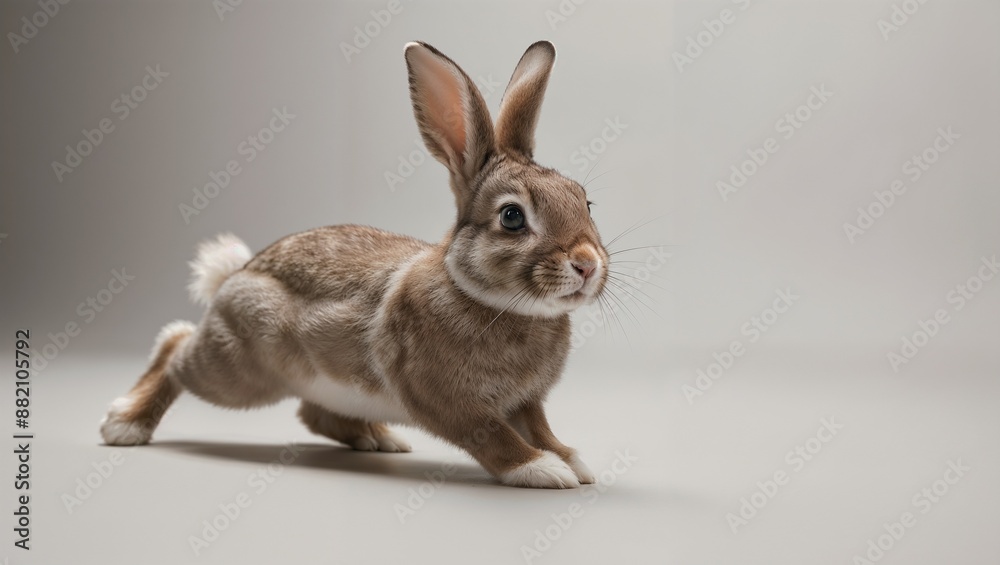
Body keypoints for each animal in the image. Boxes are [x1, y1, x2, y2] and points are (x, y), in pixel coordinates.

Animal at [99, 40, 608, 489]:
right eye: (512, 217)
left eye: (585, 201)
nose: (587, 264)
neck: (489, 298)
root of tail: (235, 276)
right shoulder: (447, 399)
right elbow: (493, 437)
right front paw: (542, 470)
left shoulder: (526, 402)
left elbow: (540, 428)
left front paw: (573, 463)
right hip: (237, 371)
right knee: (176, 347)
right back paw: (124, 424)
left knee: (312, 412)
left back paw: (378, 438)